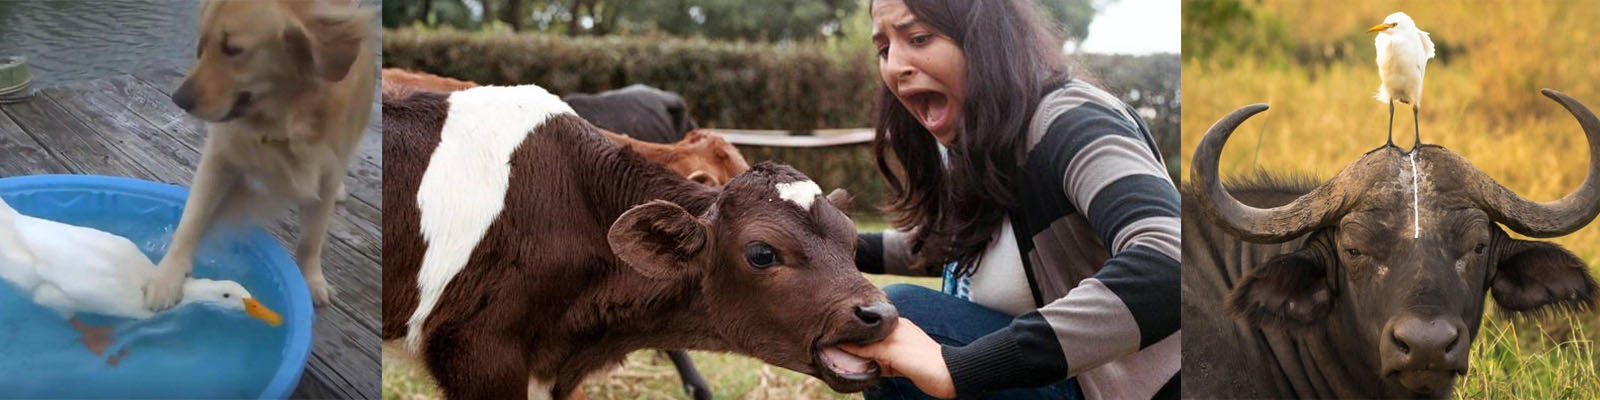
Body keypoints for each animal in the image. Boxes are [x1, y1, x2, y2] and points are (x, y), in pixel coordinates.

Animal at [147, 0, 377, 308]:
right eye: (201, 46)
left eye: (232, 49)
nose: (178, 99)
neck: (287, 118)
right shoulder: (219, 158)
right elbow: (191, 220)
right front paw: (167, 276)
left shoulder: (328, 171)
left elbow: (311, 238)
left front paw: (311, 280)